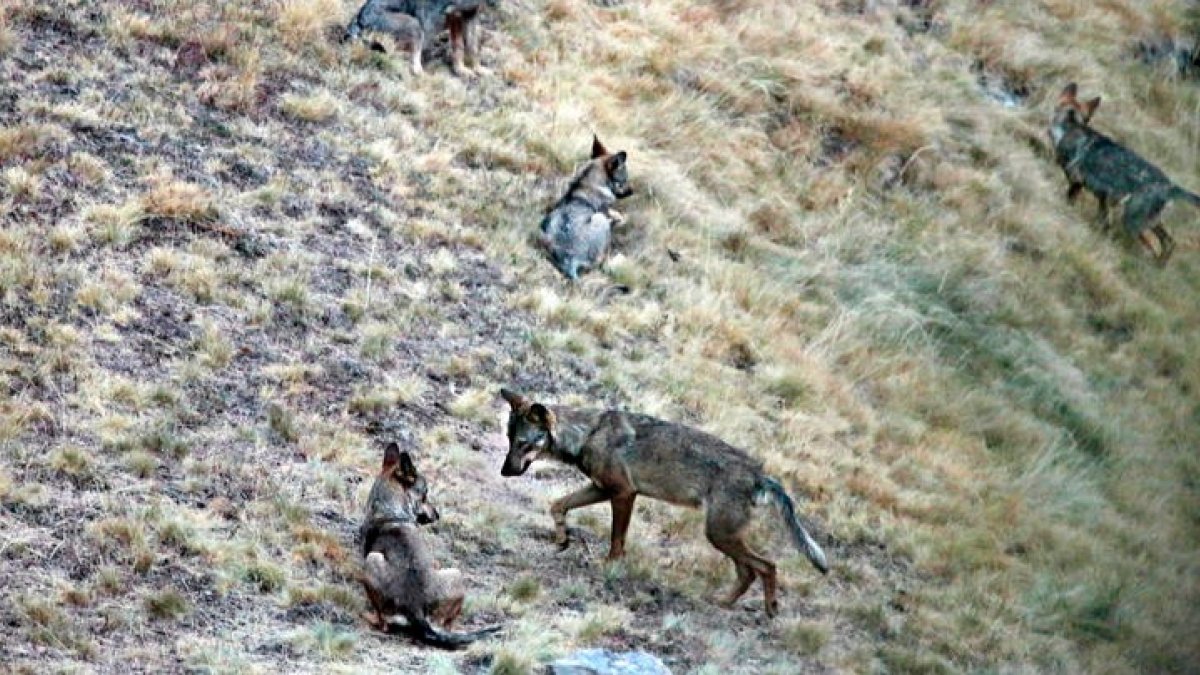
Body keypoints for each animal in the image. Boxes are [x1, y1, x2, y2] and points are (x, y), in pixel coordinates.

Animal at [342, 0, 496, 76]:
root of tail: (359, 18)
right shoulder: (455, 12)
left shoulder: (467, 16)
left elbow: (468, 47)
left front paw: (468, 69)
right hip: (415, 25)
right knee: (410, 62)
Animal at [497, 388, 828, 617]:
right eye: (509, 440)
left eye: (523, 443)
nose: (504, 472)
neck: (588, 434)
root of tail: (760, 474)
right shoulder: (601, 489)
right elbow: (558, 505)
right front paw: (562, 538)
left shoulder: (623, 493)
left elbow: (617, 541)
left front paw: (609, 568)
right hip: (723, 537)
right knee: (749, 572)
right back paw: (722, 602)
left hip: (719, 535)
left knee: (768, 566)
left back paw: (770, 608)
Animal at [539, 135, 633, 280]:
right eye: (624, 180)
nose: (632, 191)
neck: (585, 180)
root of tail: (570, 259)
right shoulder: (605, 212)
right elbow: (619, 216)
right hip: (600, 219)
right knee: (602, 260)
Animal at [1050, 82, 1200, 265]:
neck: (1071, 126)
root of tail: (1170, 186)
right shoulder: (1103, 198)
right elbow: (1104, 223)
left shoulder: (1077, 183)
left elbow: (1070, 200)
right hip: (1150, 222)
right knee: (1170, 243)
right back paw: (1158, 266)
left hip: (1132, 222)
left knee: (1152, 247)